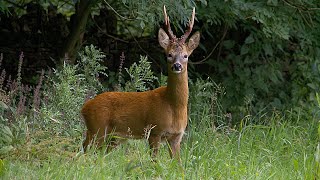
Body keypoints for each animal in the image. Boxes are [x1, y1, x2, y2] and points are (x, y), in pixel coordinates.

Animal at [81, 5, 199, 160]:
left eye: (185, 55)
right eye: (169, 55)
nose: (177, 66)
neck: (174, 106)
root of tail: (84, 108)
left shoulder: (177, 137)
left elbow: (178, 164)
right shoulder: (154, 131)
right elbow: (155, 161)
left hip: (113, 137)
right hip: (97, 127)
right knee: (87, 148)